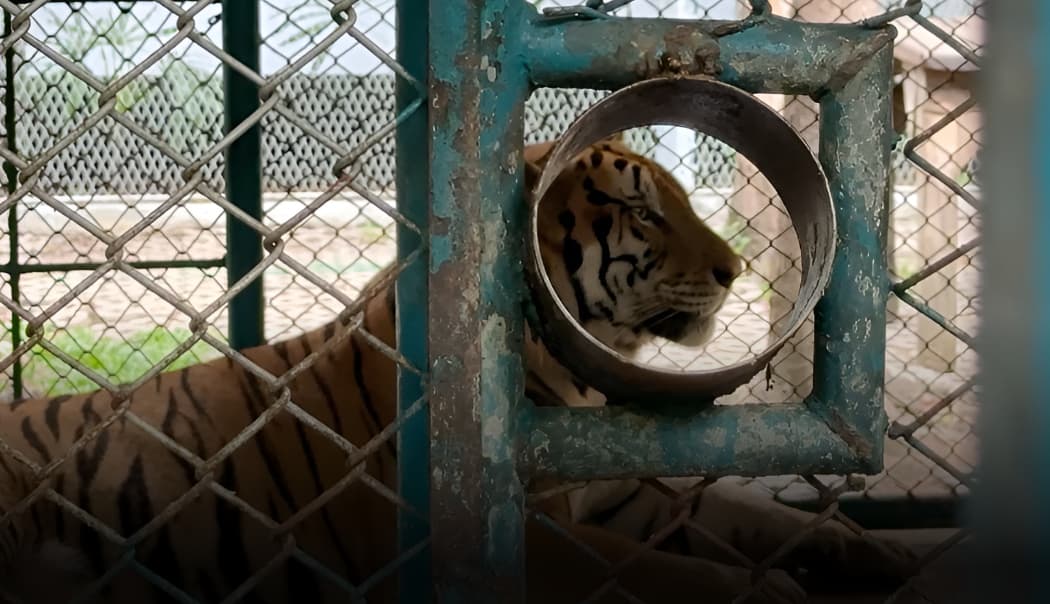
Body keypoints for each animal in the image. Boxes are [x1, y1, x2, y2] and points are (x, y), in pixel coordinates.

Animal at [0, 135, 914, 604]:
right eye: (643, 210)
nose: (735, 270)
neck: (576, 367)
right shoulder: (518, 534)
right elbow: (666, 571)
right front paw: (771, 592)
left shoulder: (617, 495)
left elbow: (739, 510)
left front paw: (857, 549)